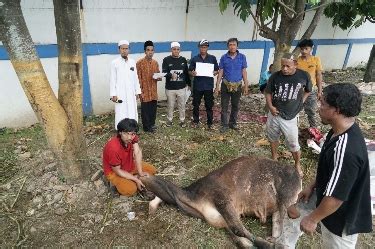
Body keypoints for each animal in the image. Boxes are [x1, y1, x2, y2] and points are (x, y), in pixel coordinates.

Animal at [141, 156, 302, 247]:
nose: (143, 191)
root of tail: (298, 175)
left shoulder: (223, 199)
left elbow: (238, 229)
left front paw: (266, 244)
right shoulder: (220, 220)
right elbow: (240, 240)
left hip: (286, 199)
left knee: (291, 228)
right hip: (278, 209)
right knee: (280, 226)